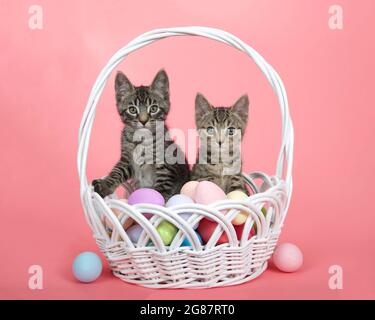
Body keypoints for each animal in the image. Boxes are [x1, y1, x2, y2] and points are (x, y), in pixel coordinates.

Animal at [92, 70, 189, 200]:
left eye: (153, 108)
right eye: (132, 110)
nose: (143, 121)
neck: (142, 138)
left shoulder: (167, 167)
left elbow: (161, 188)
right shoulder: (127, 159)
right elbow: (117, 171)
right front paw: (105, 184)